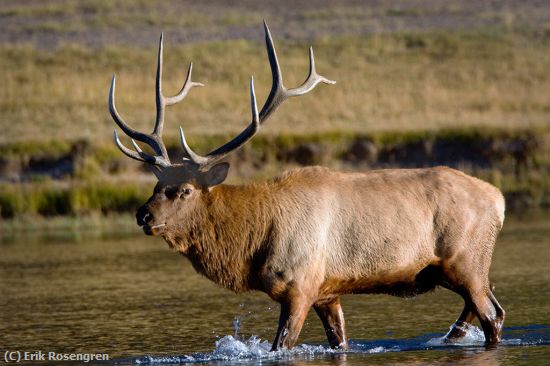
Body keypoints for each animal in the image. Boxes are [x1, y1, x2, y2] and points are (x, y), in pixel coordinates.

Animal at [109, 21, 508, 350]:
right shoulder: (326, 291)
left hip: (466, 260)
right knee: (479, 307)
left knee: (493, 315)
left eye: (186, 190)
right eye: (156, 185)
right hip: (456, 269)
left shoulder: (300, 285)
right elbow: (339, 341)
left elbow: (281, 346)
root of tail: (499, 199)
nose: (143, 215)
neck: (254, 242)